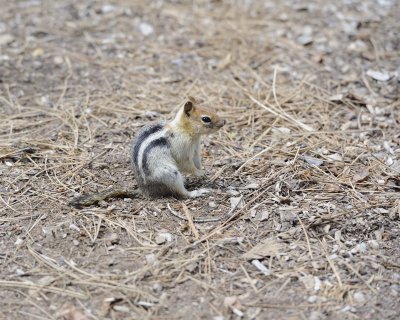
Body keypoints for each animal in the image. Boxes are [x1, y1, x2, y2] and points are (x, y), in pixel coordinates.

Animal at [70, 96, 223, 209]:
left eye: (213, 109)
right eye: (206, 119)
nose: (224, 123)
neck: (185, 130)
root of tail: (146, 190)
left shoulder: (195, 149)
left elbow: (197, 161)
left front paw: (204, 172)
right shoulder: (182, 150)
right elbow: (187, 165)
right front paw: (200, 173)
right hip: (170, 173)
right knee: (181, 193)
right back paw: (196, 192)